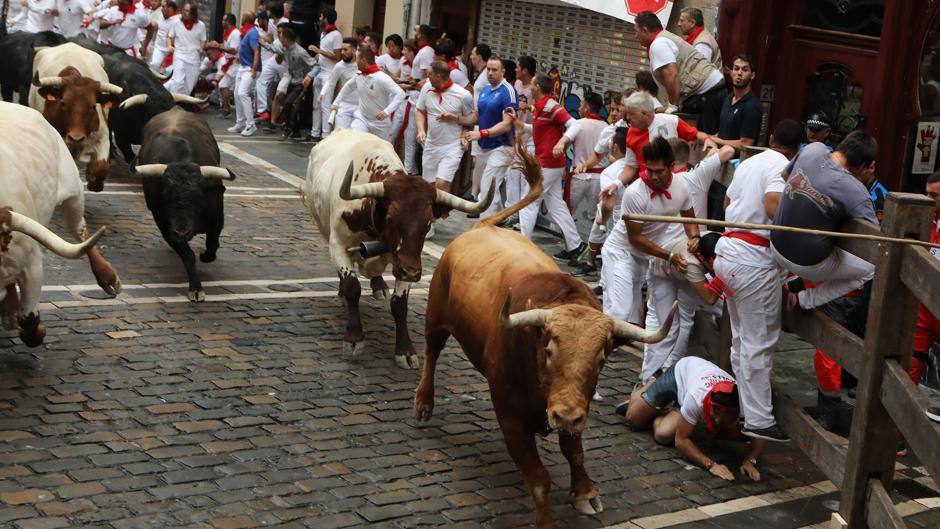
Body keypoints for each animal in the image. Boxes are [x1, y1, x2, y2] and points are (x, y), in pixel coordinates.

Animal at [135, 107, 235, 302]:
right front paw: (196, 288)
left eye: (198, 198)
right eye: (166, 197)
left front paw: (206, 256)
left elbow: (212, 243)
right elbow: (188, 256)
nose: (182, 232)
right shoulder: (165, 225)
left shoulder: (217, 215)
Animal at [304, 129, 496, 368]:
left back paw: (379, 286)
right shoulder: (338, 245)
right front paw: (354, 338)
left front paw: (405, 350)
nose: (412, 273)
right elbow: (352, 287)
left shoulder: (406, 259)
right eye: (391, 218)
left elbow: (400, 304)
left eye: (428, 223)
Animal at [416, 144, 676, 528]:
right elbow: (539, 477)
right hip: (435, 316)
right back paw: (424, 402)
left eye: (601, 359)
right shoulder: (509, 416)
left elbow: (575, 452)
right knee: (431, 352)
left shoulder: (575, 411)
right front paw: (546, 519)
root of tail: (482, 225)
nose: (564, 416)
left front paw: (585, 492)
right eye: (550, 350)